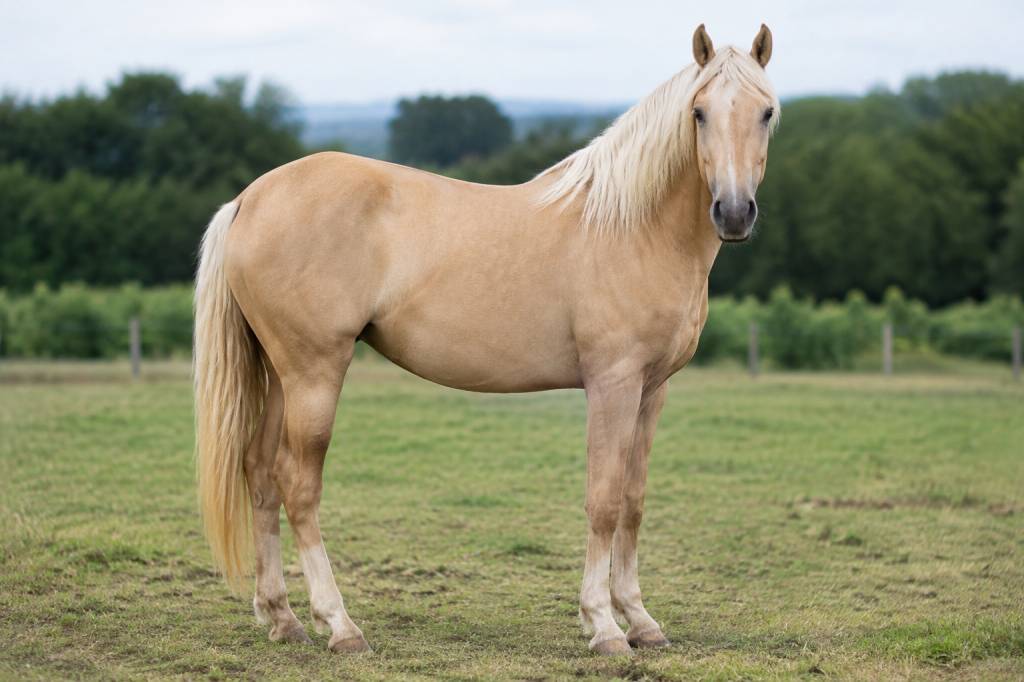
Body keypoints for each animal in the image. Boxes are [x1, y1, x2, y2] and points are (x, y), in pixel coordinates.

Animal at [194, 23, 778, 656]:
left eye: (767, 111)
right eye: (699, 111)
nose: (734, 212)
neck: (634, 227)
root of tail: (250, 198)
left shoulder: (652, 390)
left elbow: (633, 501)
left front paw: (641, 620)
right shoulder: (613, 384)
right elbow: (602, 500)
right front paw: (603, 625)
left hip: (280, 373)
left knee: (259, 472)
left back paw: (282, 617)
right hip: (314, 372)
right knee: (298, 484)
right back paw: (340, 625)